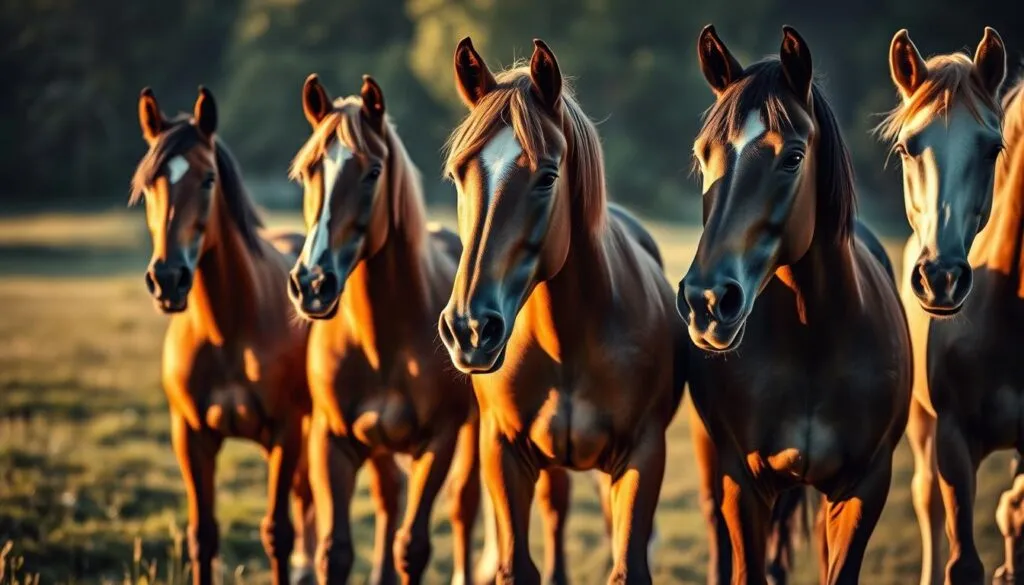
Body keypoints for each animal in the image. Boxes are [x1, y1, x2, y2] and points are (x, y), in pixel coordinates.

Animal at [130, 86, 315, 585]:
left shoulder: (285, 431)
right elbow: (203, 536)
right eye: (149, 185)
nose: (168, 279)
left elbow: (277, 534)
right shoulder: (191, 436)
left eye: (208, 178)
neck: (227, 331)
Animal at [286, 73, 483, 585]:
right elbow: (335, 551)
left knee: (464, 505)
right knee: (389, 495)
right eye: (308, 171)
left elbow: (411, 547)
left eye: (373, 171)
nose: (312, 283)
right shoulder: (334, 441)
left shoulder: (438, 442)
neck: (382, 342)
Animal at [437, 37, 686, 585]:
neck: (567, 341)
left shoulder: (643, 456)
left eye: (548, 175)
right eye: (457, 174)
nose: (470, 330)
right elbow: (517, 564)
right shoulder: (504, 453)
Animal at [677, 25, 912, 585]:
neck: (812, 342)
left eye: (793, 157)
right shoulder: (743, 484)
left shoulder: (863, 489)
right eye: (702, 155)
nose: (707, 301)